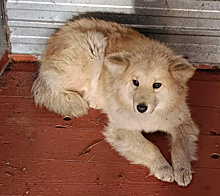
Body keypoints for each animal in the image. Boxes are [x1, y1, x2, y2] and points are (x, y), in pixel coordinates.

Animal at [32, 17, 199, 186]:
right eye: (135, 82)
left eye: (157, 85)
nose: (141, 108)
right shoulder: (122, 129)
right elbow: (150, 147)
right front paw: (163, 167)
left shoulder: (182, 122)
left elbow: (180, 146)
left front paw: (182, 169)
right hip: (93, 48)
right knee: (49, 87)